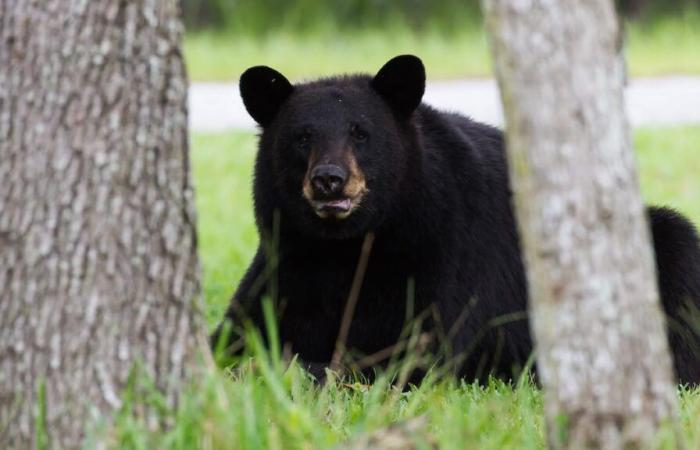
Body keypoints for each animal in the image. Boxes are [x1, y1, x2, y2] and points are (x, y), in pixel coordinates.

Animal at [213, 54, 700, 384]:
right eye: (302, 137)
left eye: (361, 133)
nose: (329, 180)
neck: (343, 248)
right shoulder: (287, 260)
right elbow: (234, 331)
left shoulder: (442, 256)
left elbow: (419, 351)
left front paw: (286, 368)